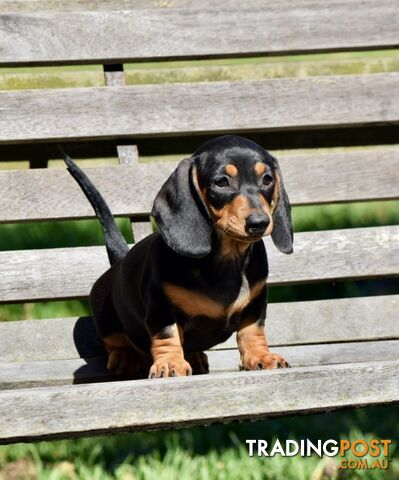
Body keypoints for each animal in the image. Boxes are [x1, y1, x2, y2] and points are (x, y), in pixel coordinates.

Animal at [62, 134, 294, 378]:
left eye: (267, 179)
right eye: (221, 182)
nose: (259, 222)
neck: (226, 259)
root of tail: (120, 261)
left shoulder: (256, 301)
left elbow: (252, 330)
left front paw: (260, 356)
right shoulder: (160, 305)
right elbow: (167, 335)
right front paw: (170, 363)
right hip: (104, 317)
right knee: (115, 340)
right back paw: (125, 357)